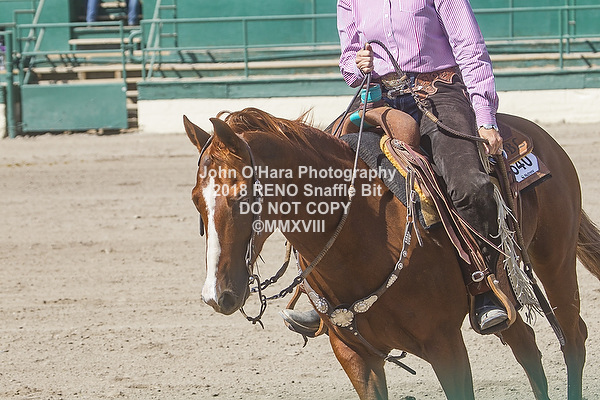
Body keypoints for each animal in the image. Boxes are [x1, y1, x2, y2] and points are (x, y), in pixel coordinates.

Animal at [183, 107, 600, 400]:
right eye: (195, 200)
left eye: (242, 197)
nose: (216, 295)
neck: (362, 236)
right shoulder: (353, 354)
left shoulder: (445, 344)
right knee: (527, 345)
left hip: (554, 259)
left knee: (572, 337)